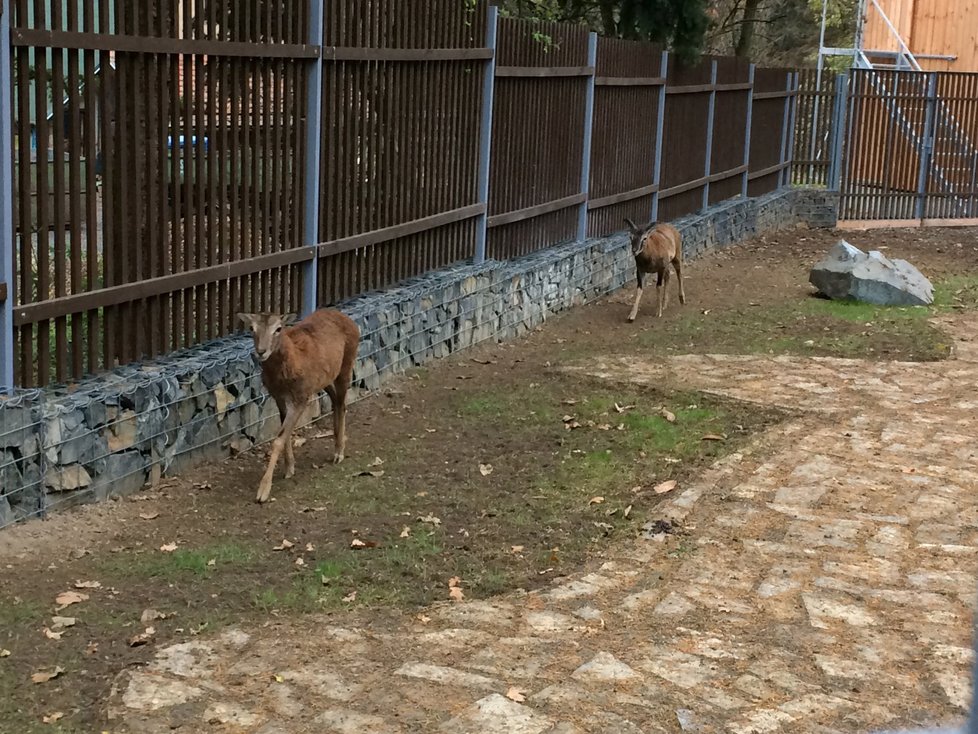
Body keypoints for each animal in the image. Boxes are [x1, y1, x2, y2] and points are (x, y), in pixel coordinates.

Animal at [236, 310, 358, 506]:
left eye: (278, 328)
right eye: (251, 328)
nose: (261, 351)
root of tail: (349, 320)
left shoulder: (301, 397)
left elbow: (278, 439)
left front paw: (263, 492)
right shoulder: (278, 397)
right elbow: (284, 433)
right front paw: (290, 468)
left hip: (346, 364)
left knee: (342, 403)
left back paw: (339, 452)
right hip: (324, 378)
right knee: (335, 400)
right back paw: (335, 440)